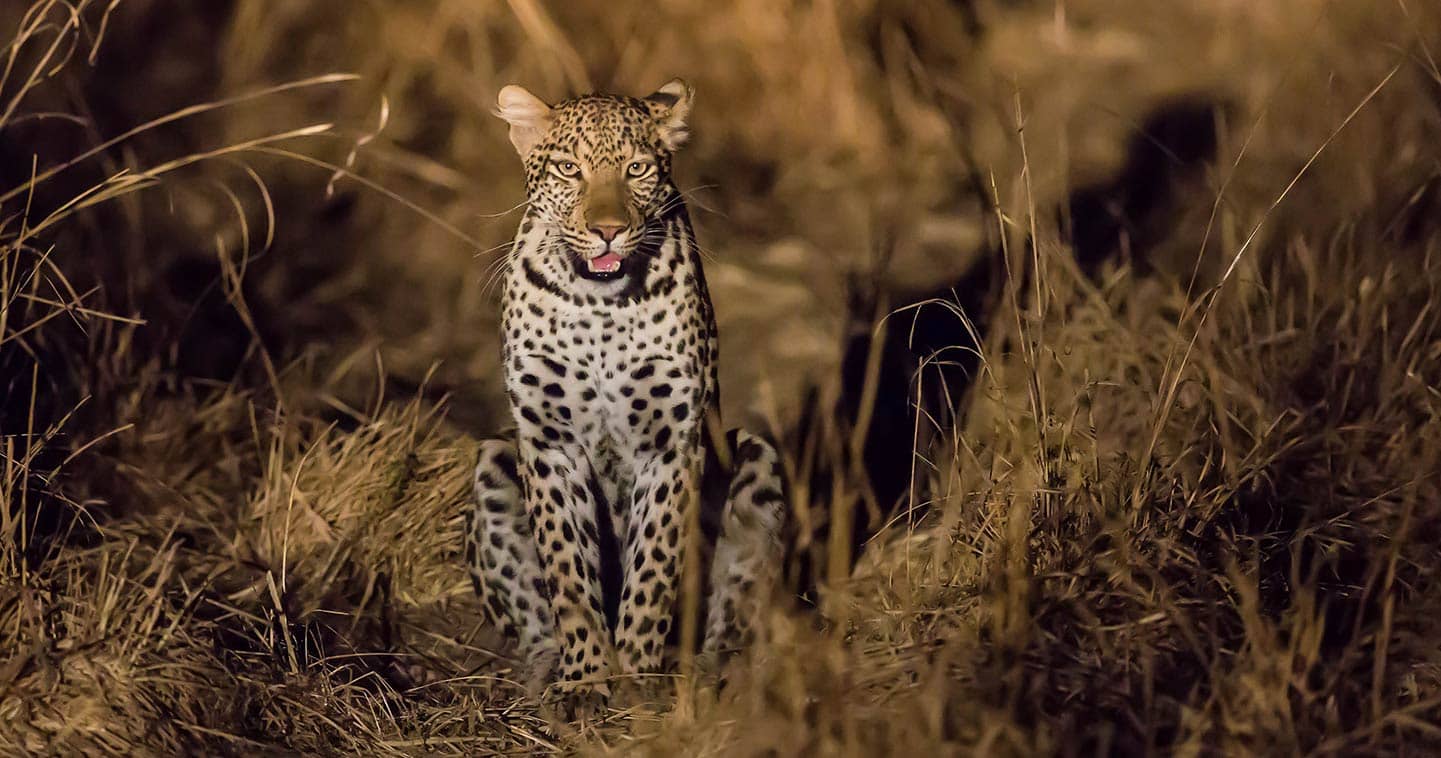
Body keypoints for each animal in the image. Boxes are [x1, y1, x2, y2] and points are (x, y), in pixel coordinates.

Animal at [463, 78, 788, 715]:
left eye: (637, 168)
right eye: (569, 169)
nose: (608, 230)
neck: (599, 306)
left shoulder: (671, 445)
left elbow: (653, 569)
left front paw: (636, 675)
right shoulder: (548, 443)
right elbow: (567, 573)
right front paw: (587, 679)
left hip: (756, 459)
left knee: (734, 613)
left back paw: (713, 673)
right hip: (493, 463)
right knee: (533, 622)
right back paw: (545, 674)